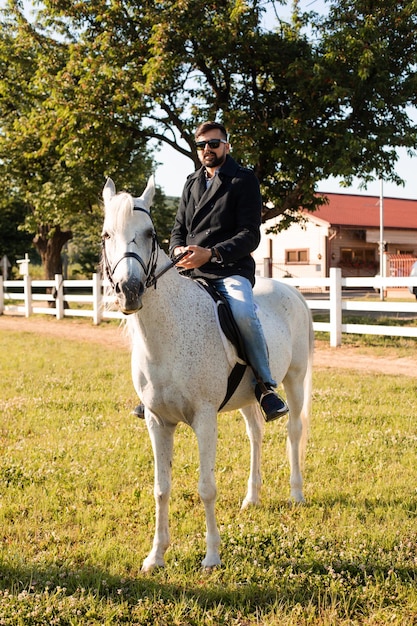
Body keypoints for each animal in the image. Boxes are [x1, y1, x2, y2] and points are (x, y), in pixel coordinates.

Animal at [101, 176, 312, 572]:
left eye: (149, 233)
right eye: (107, 234)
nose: (129, 291)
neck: (168, 333)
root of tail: (291, 291)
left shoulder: (204, 418)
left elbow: (206, 487)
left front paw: (212, 556)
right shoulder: (157, 422)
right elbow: (161, 488)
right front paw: (156, 556)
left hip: (295, 378)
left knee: (293, 431)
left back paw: (296, 494)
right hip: (250, 397)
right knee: (256, 434)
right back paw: (252, 498)